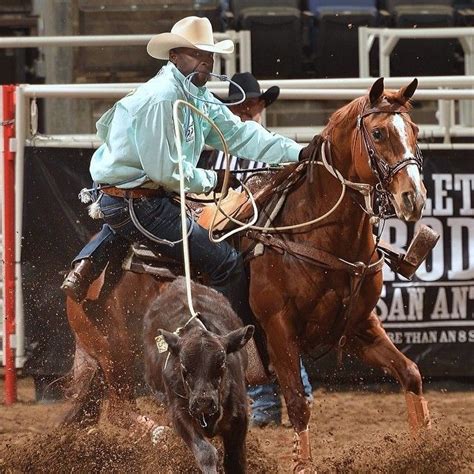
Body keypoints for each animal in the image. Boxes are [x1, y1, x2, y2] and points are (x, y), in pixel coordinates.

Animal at [65, 78, 432, 470]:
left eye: (414, 130)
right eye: (378, 133)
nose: (413, 197)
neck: (312, 235)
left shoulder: (359, 326)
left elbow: (410, 373)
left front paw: (427, 449)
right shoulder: (279, 330)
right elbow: (298, 403)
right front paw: (303, 464)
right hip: (116, 355)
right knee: (120, 411)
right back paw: (163, 438)